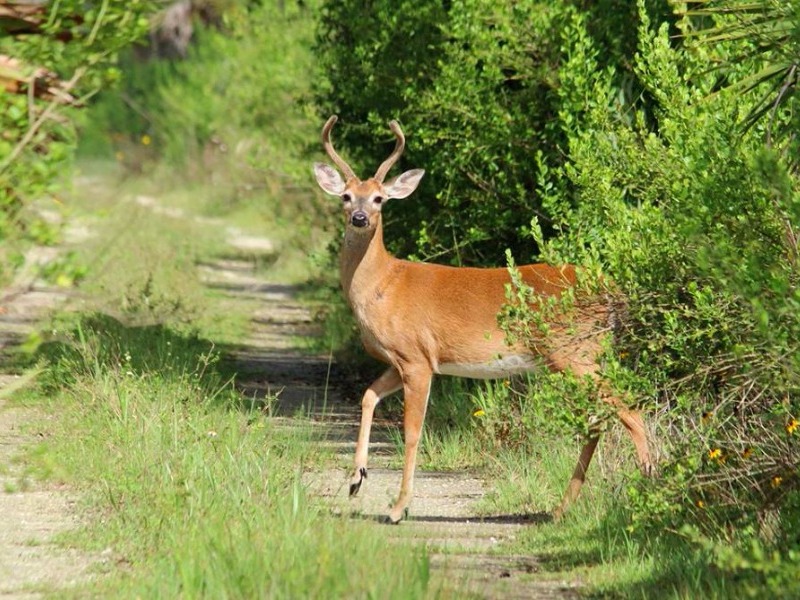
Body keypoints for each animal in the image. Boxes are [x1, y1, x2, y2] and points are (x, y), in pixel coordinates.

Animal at [310, 115, 648, 524]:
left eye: (379, 198)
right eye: (346, 196)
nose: (360, 218)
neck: (384, 283)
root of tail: (613, 290)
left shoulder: (417, 358)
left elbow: (412, 432)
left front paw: (398, 507)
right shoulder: (401, 359)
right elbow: (368, 395)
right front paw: (356, 479)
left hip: (575, 353)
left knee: (628, 409)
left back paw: (649, 486)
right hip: (577, 358)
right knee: (599, 418)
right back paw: (562, 507)